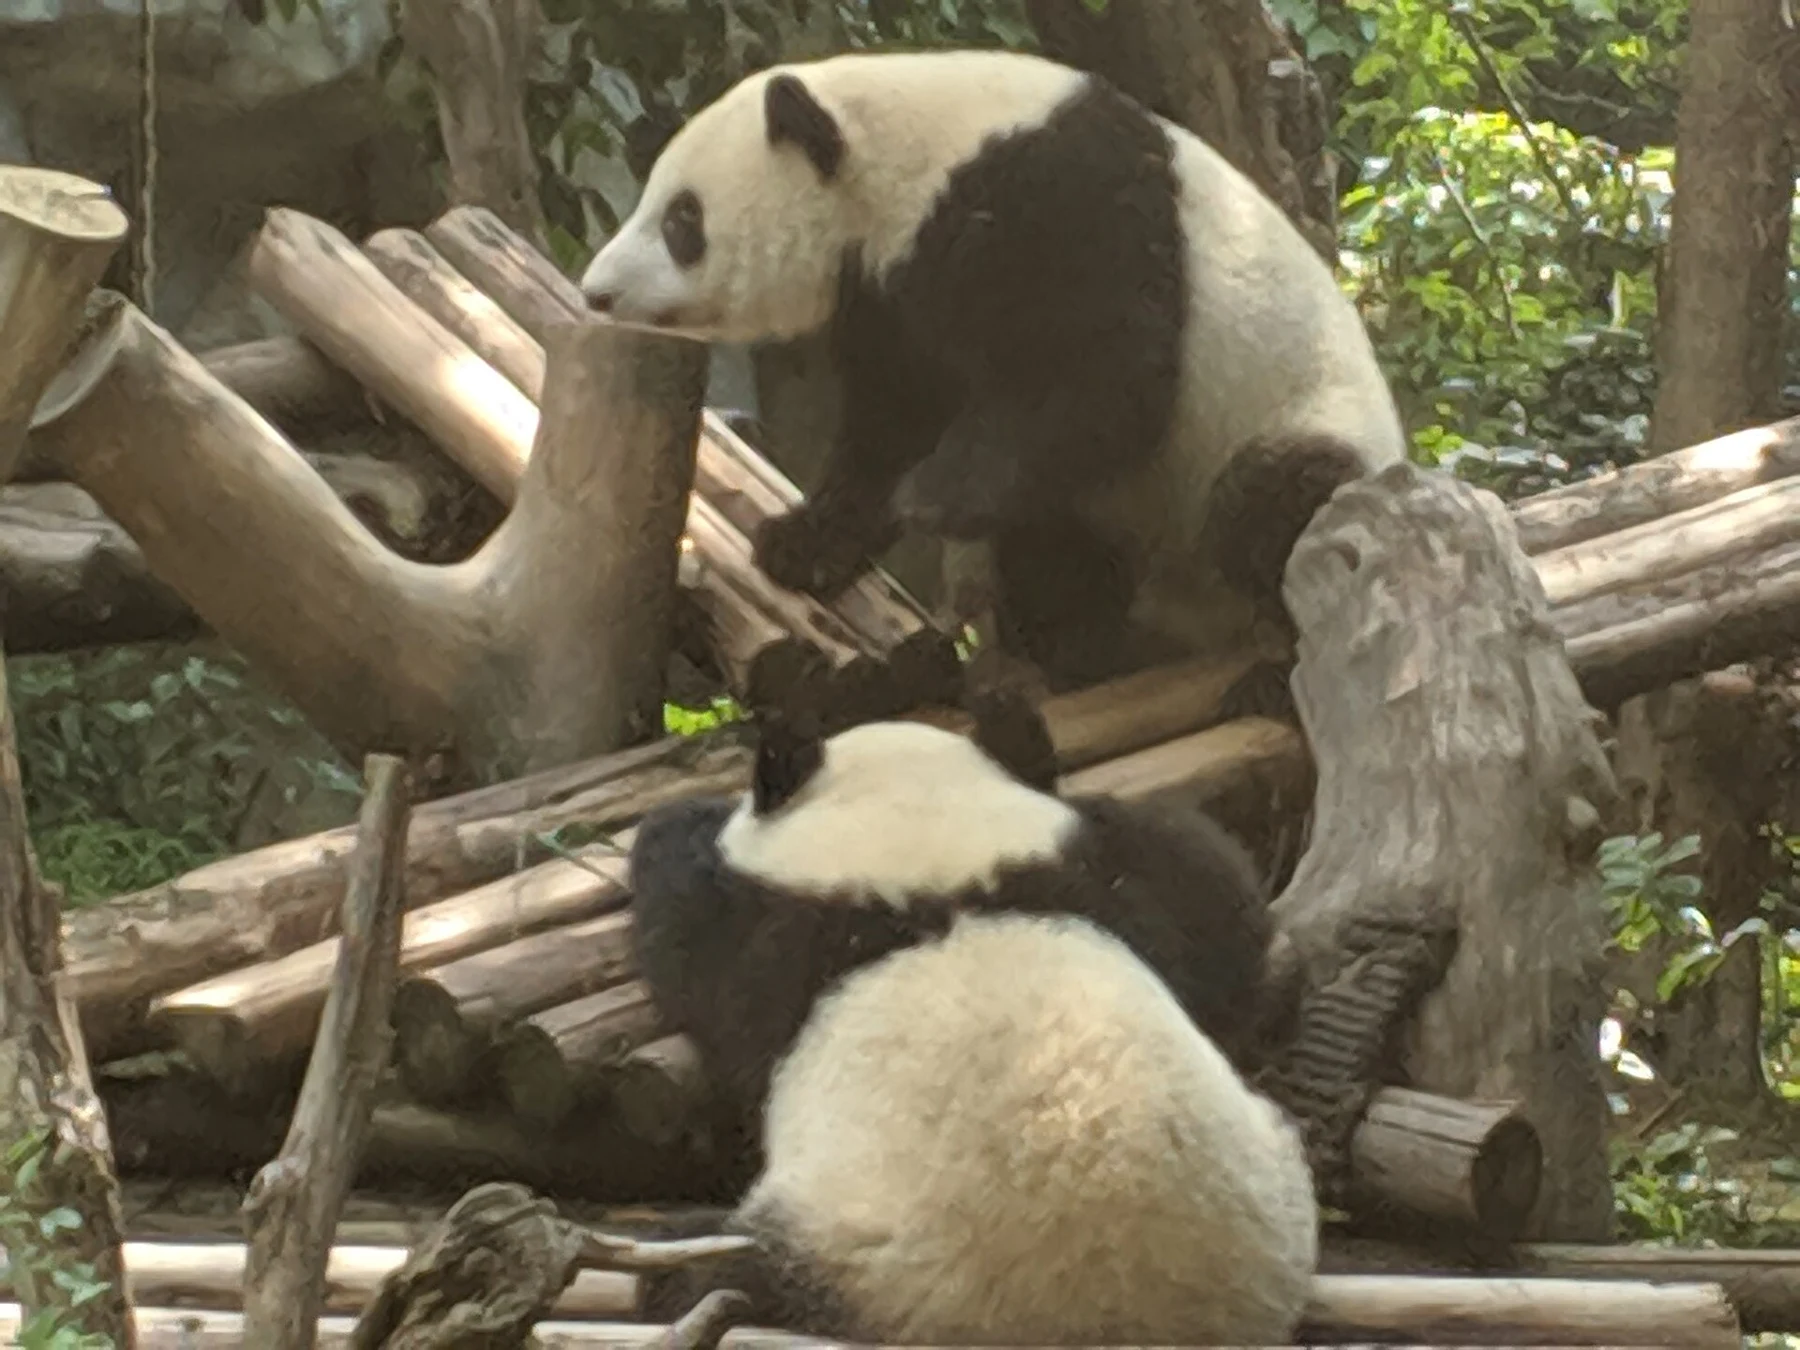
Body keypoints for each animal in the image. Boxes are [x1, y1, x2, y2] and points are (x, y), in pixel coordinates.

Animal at [578, 47, 1407, 690]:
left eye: (682, 219)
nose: (597, 291)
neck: (909, 158)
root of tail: (1195, 623)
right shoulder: (891, 288)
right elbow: (895, 417)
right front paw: (799, 545)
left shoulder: (1064, 197)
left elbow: (1103, 372)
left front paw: (935, 496)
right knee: (1056, 544)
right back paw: (1078, 641)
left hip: (1303, 428)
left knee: (1276, 501)